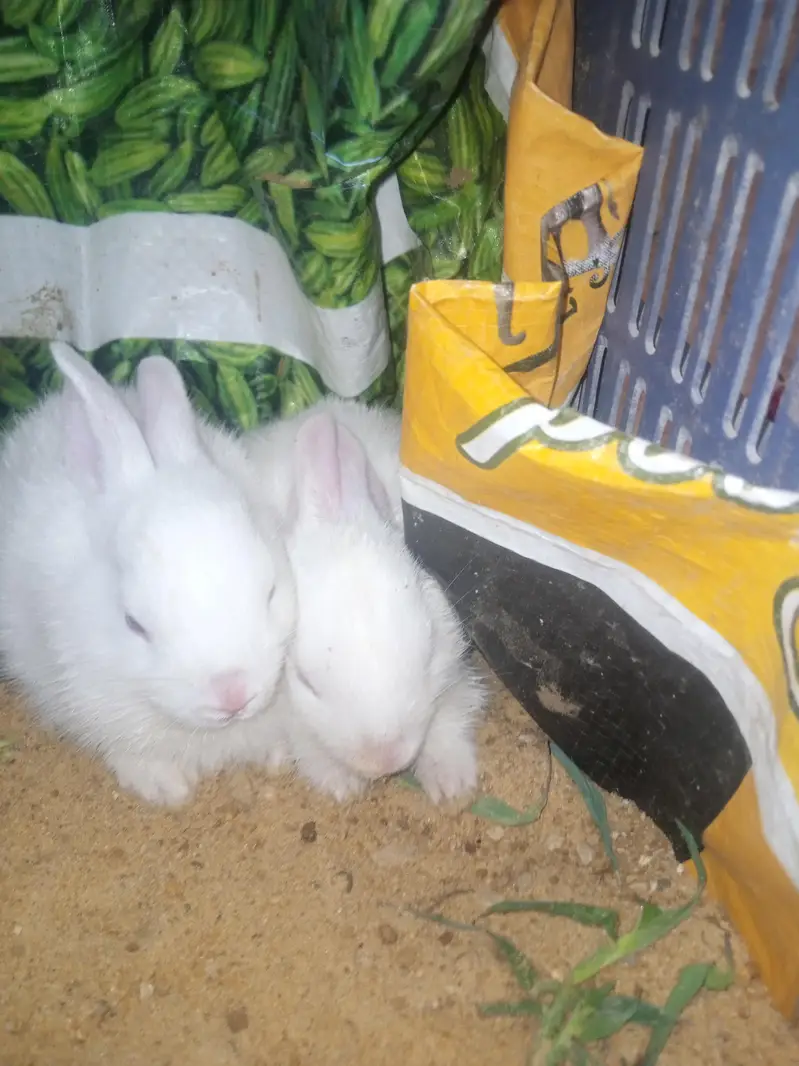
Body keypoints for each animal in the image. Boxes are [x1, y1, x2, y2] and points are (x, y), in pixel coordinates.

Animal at [243, 401, 487, 803]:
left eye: (428, 658)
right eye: (306, 683)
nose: (386, 760)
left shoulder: (452, 672)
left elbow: (448, 719)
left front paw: (452, 786)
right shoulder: (285, 710)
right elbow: (306, 744)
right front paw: (342, 787)